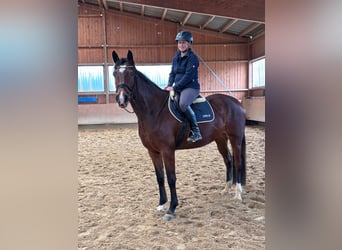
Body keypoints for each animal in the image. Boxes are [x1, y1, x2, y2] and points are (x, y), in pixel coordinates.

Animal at [112, 49, 246, 220]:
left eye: (131, 73)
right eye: (114, 73)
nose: (121, 99)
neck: (154, 111)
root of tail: (236, 103)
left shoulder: (167, 151)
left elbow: (171, 178)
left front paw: (171, 208)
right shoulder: (153, 152)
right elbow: (160, 178)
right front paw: (161, 204)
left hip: (235, 139)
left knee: (237, 162)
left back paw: (238, 194)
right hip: (220, 139)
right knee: (228, 160)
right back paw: (227, 188)